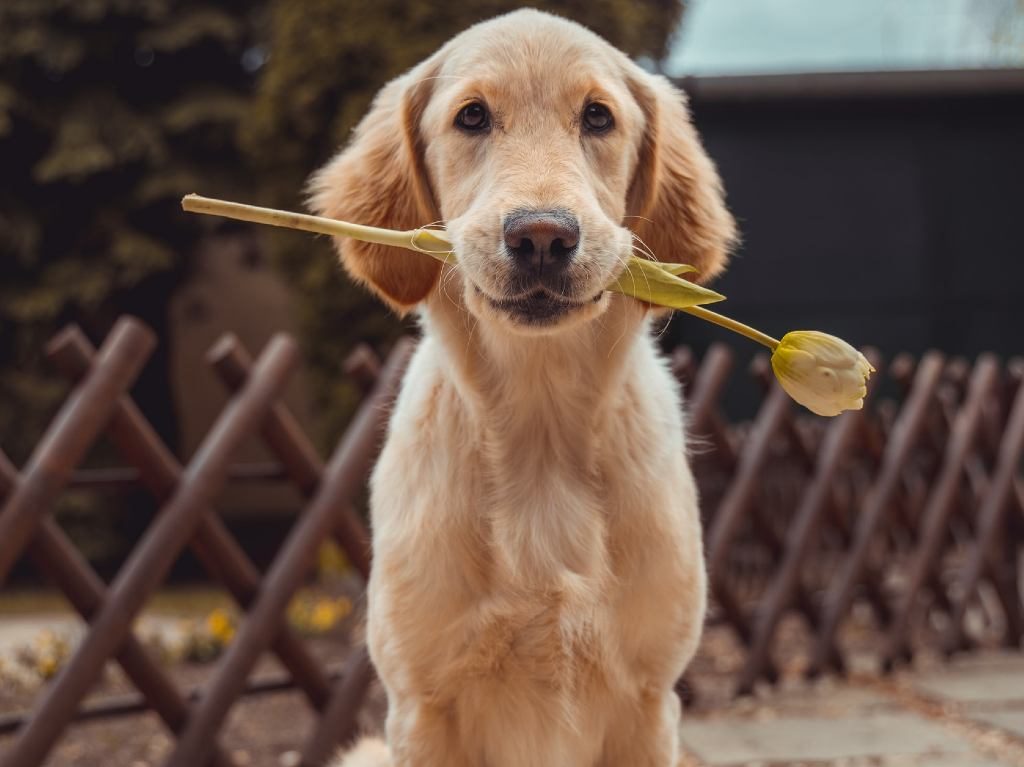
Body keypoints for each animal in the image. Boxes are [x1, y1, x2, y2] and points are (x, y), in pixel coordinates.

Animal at [313, 7, 737, 765]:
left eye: (598, 117)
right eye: (473, 117)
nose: (542, 237)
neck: (540, 428)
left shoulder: (649, 699)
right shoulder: (421, 705)